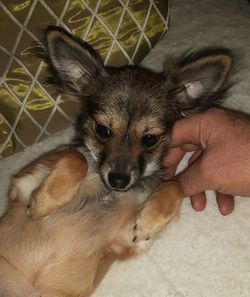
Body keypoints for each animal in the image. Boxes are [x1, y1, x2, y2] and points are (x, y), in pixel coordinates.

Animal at [0, 150, 184, 296]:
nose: (119, 180)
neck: (108, 192)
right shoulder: (24, 185)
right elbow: (77, 157)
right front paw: (44, 203)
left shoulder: (123, 239)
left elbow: (176, 188)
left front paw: (149, 223)